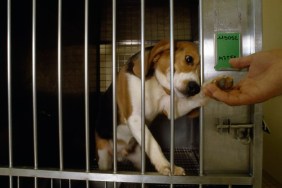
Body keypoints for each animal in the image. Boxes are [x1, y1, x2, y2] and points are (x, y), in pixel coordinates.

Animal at [96, 40, 232, 176]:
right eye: (189, 59)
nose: (195, 88)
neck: (155, 83)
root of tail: (120, 155)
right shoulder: (134, 118)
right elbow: (154, 144)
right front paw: (166, 166)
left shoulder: (171, 108)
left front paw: (218, 85)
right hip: (103, 155)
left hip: (139, 159)